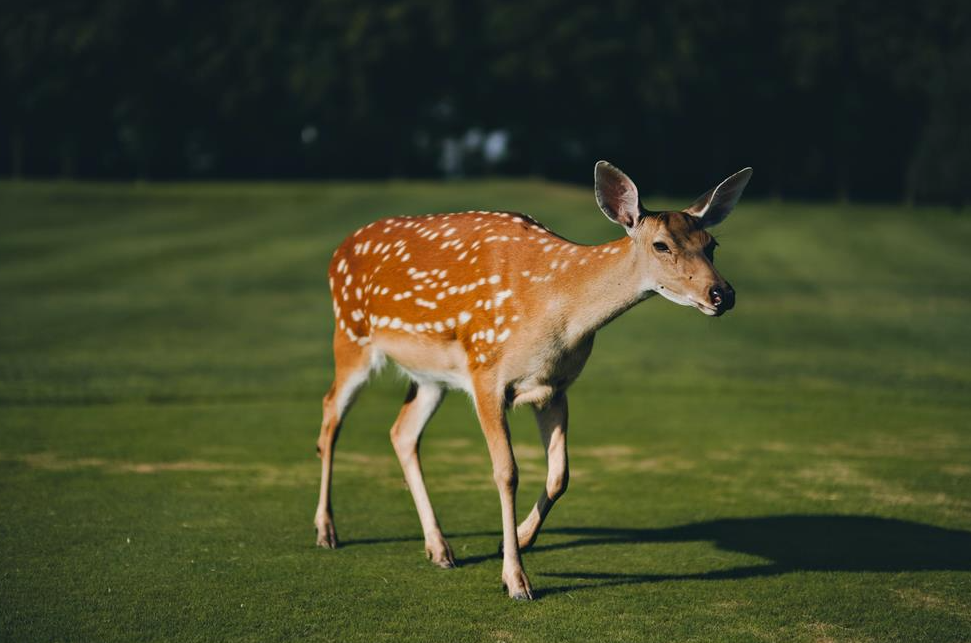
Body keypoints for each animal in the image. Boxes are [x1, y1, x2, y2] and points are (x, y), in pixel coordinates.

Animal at [316, 161, 756, 600]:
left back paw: (439, 549)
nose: (722, 294)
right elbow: (506, 472)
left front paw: (516, 540)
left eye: (712, 243)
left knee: (402, 432)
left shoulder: (554, 386)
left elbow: (560, 474)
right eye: (661, 245)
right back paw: (326, 531)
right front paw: (515, 579)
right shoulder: (485, 372)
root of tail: (338, 251)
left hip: (430, 377)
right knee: (331, 414)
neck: (557, 312)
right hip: (351, 335)